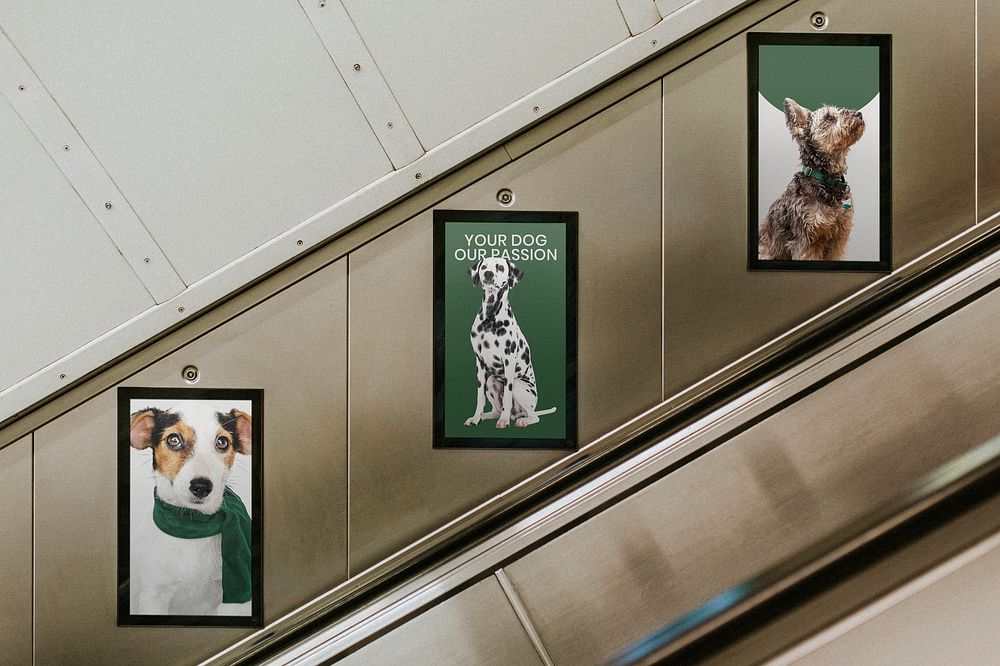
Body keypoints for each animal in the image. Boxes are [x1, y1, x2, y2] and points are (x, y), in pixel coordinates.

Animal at [129, 400, 252, 612]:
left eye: (222, 442)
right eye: (173, 439)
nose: (201, 487)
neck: (192, 526)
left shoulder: (232, 598)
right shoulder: (152, 597)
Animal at [462, 256, 556, 428]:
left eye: (499, 267)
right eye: (484, 267)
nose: (488, 273)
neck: (490, 318)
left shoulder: (509, 361)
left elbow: (507, 395)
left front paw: (503, 421)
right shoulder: (479, 363)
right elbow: (479, 397)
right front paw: (476, 417)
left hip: (519, 386)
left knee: (533, 416)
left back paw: (521, 420)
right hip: (491, 381)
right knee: (496, 410)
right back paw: (487, 416)